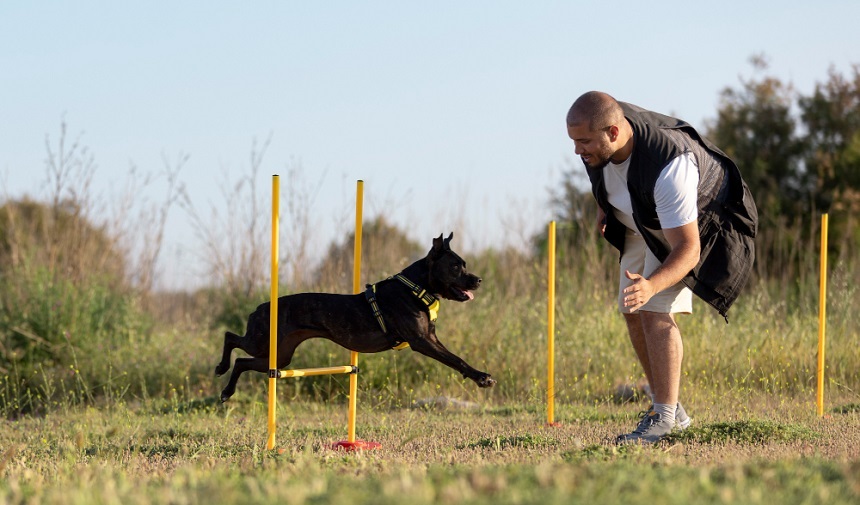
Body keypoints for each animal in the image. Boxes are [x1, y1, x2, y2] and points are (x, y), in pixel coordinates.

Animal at [217, 232, 498, 402]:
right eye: (455, 266)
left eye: (464, 264)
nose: (479, 280)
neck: (415, 287)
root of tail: (260, 307)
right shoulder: (422, 341)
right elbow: (455, 359)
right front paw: (482, 378)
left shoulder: (431, 338)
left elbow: (456, 357)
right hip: (263, 341)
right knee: (231, 337)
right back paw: (221, 369)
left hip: (280, 356)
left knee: (242, 361)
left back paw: (227, 390)